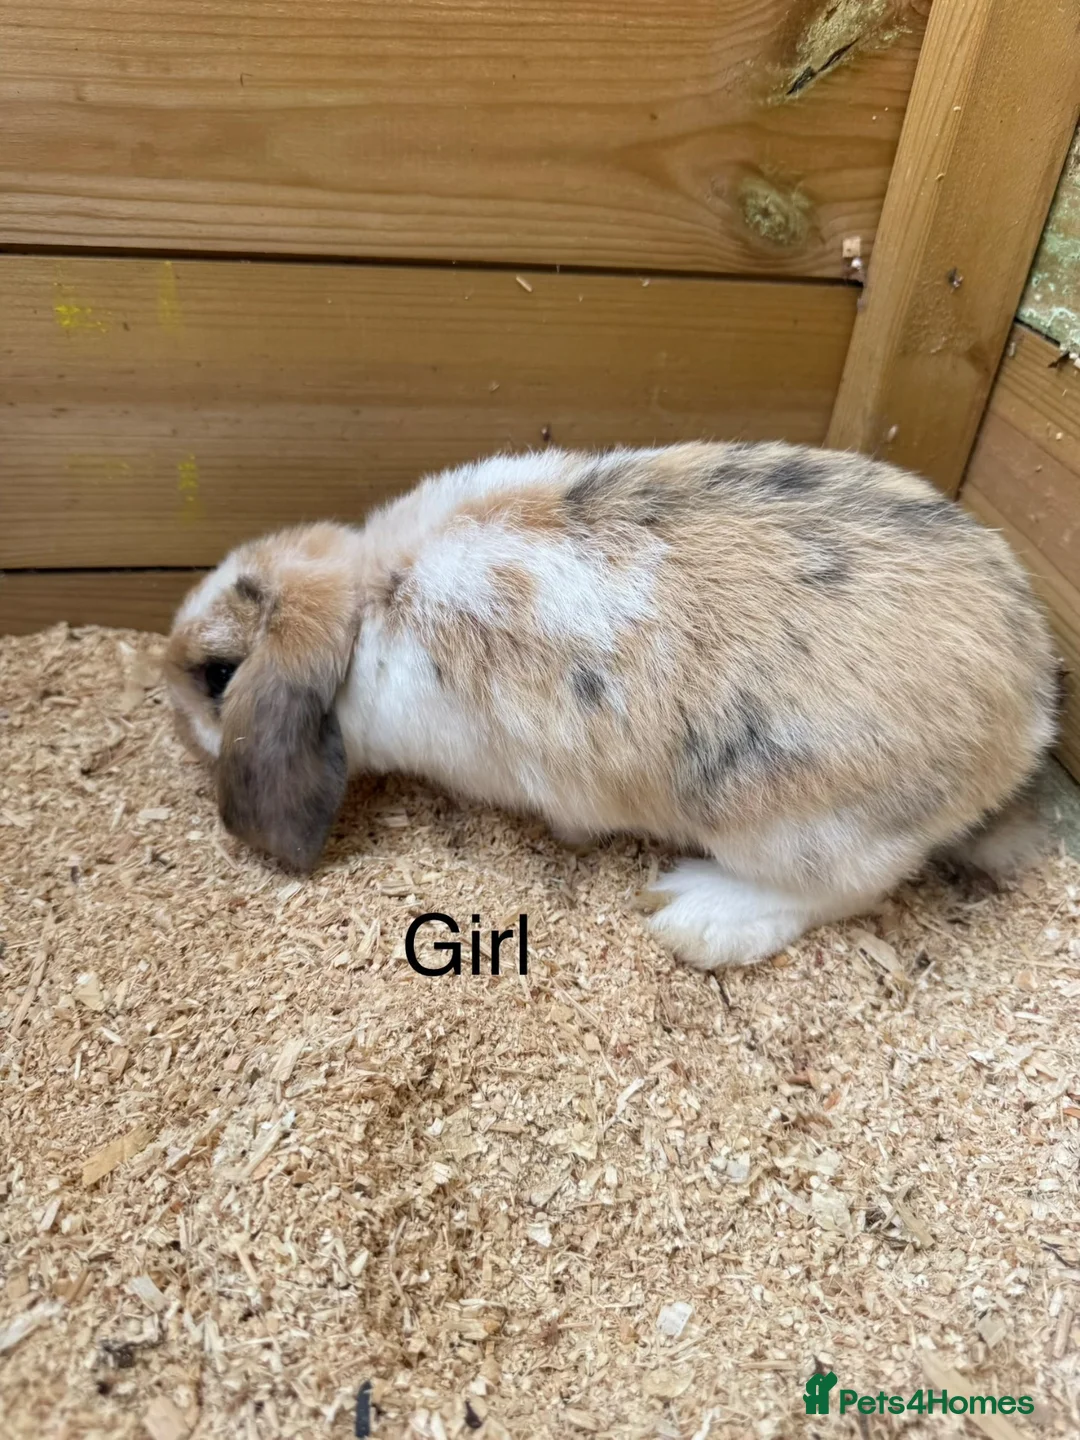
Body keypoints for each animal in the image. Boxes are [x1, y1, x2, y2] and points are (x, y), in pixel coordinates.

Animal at [164, 441, 1060, 970]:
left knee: (842, 891)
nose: (167, 702)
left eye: (218, 675)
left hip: (804, 828)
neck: (367, 606)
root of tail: (1029, 710)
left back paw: (692, 912)